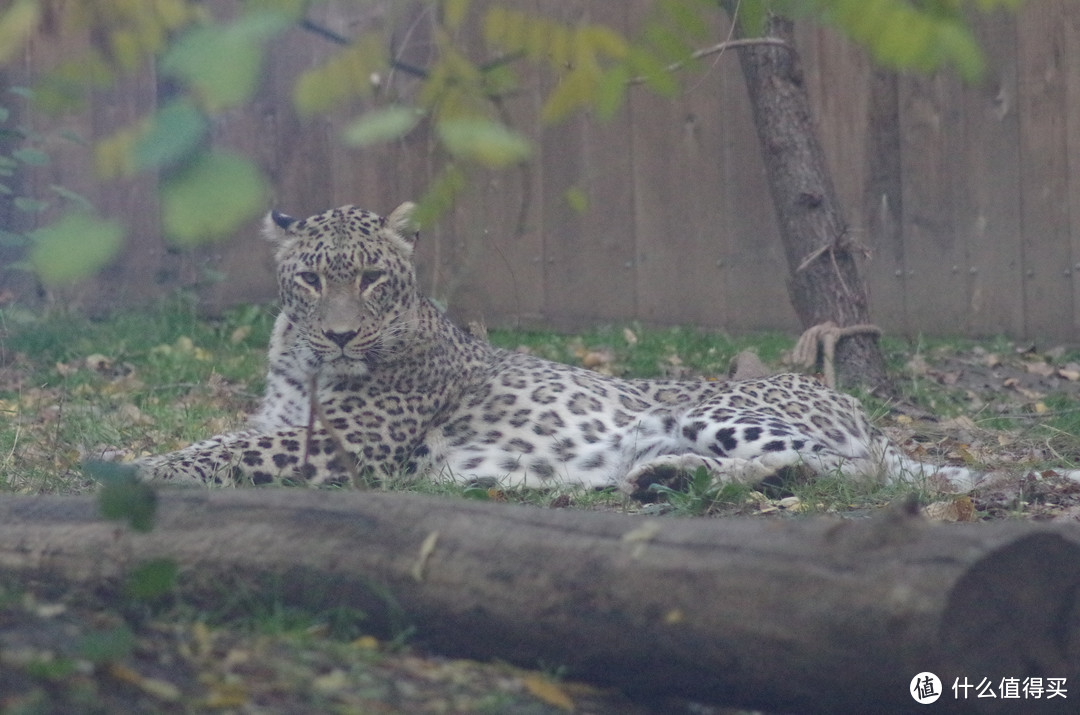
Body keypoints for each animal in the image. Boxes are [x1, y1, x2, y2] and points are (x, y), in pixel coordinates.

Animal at [130, 198, 984, 496]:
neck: (304, 360)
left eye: (371, 278)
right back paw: (659, 477)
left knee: (856, 470)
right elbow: (224, 437)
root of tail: (844, 396)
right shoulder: (284, 421)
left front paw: (137, 467)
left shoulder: (345, 443)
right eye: (311, 279)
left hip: (718, 408)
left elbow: (223, 450)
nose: (340, 332)